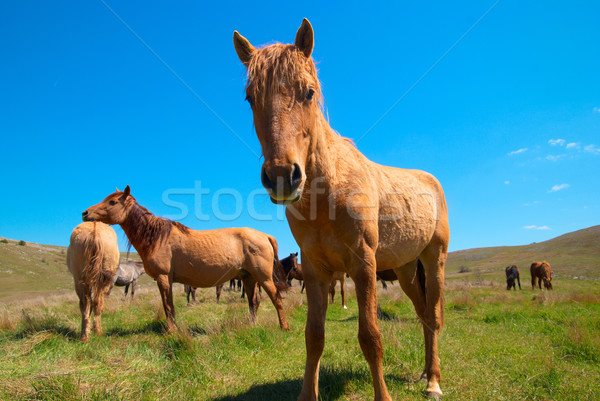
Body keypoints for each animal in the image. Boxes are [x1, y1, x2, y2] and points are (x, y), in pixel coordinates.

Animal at [82, 186, 290, 330]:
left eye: (112, 202)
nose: (85, 213)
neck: (156, 237)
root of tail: (264, 235)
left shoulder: (163, 278)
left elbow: (168, 306)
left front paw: (171, 331)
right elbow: (170, 306)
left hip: (263, 277)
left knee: (276, 299)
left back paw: (284, 327)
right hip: (248, 278)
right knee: (254, 302)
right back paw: (251, 326)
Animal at [234, 18, 450, 400]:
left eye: (308, 92)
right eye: (250, 98)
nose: (282, 177)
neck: (328, 193)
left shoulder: (363, 266)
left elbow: (371, 338)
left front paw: (383, 395)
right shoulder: (316, 271)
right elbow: (314, 337)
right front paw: (308, 394)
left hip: (433, 258)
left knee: (434, 316)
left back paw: (434, 381)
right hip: (407, 268)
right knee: (424, 314)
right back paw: (425, 373)